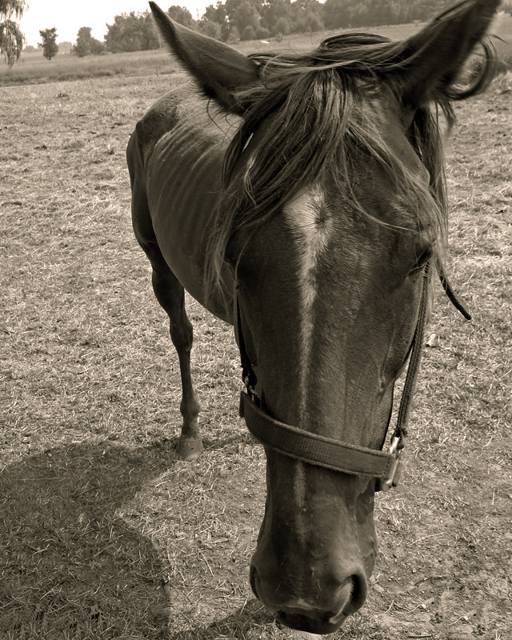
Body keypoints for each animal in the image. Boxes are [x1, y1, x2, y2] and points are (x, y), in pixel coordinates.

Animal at [127, 0, 498, 633]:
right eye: (232, 251)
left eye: (421, 254)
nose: (304, 590)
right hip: (158, 262)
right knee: (181, 334)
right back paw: (191, 431)